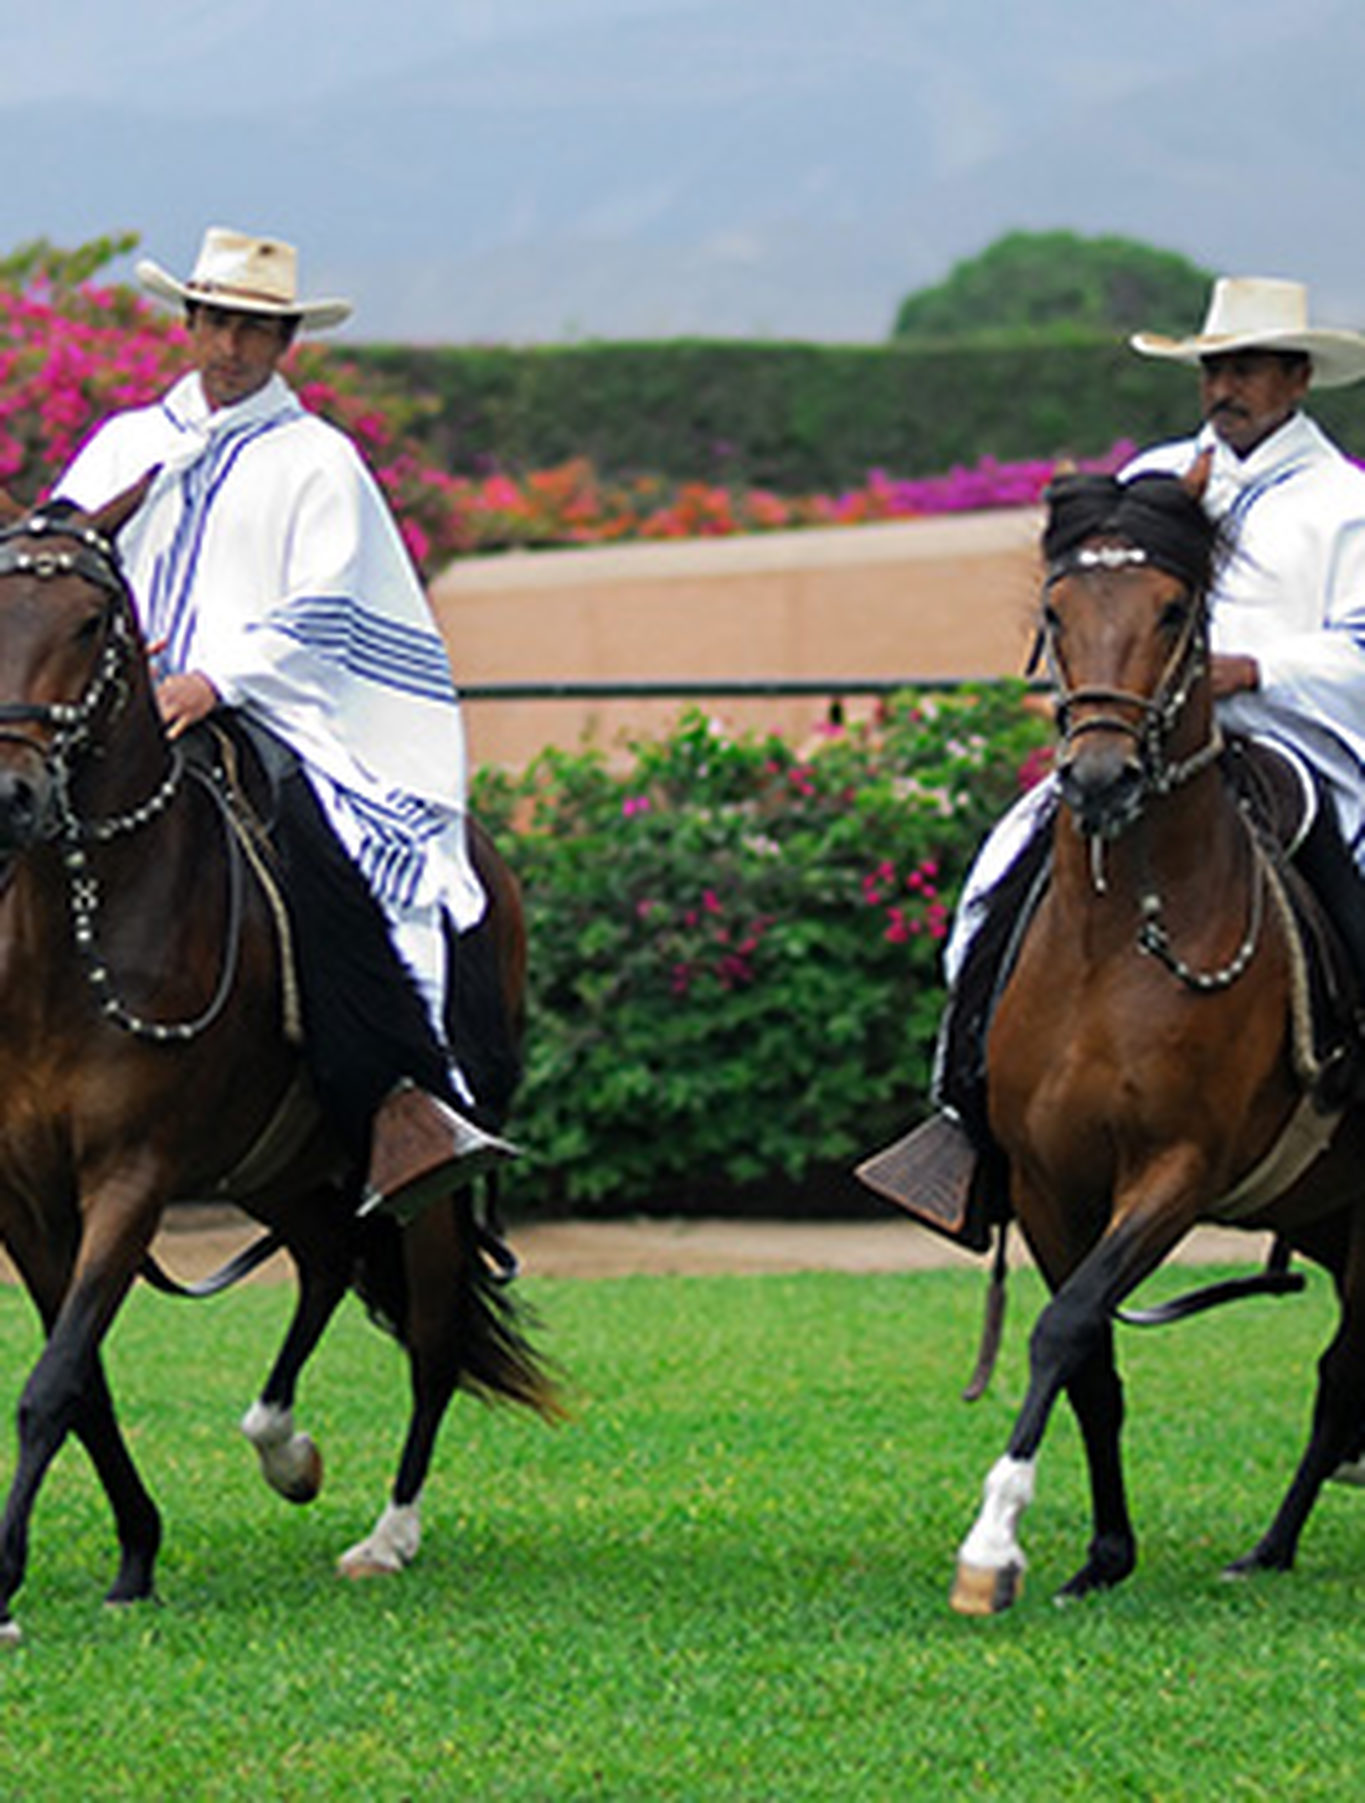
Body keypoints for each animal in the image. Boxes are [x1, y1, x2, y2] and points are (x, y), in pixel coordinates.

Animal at [0, 484, 558, 1644]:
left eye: (89, 621)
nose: (10, 794)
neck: (71, 945)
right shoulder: (21, 1195)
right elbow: (84, 1380)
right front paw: (135, 1553)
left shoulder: (132, 1176)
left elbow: (54, 1379)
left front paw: (5, 1582)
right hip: (277, 1165)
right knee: (327, 1261)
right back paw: (283, 1446)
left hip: (418, 1181)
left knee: (432, 1332)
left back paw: (388, 1534)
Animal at [948, 468, 1365, 1615]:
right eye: (1056, 611)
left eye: (1175, 612)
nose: (1099, 778)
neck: (1114, 949)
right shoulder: (1048, 1180)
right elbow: (1087, 1357)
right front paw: (1101, 1552)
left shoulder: (1175, 1169)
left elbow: (1066, 1324)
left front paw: (991, 1544)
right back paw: (1268, 1546)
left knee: (1345, 1369)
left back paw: (1272, 1543)